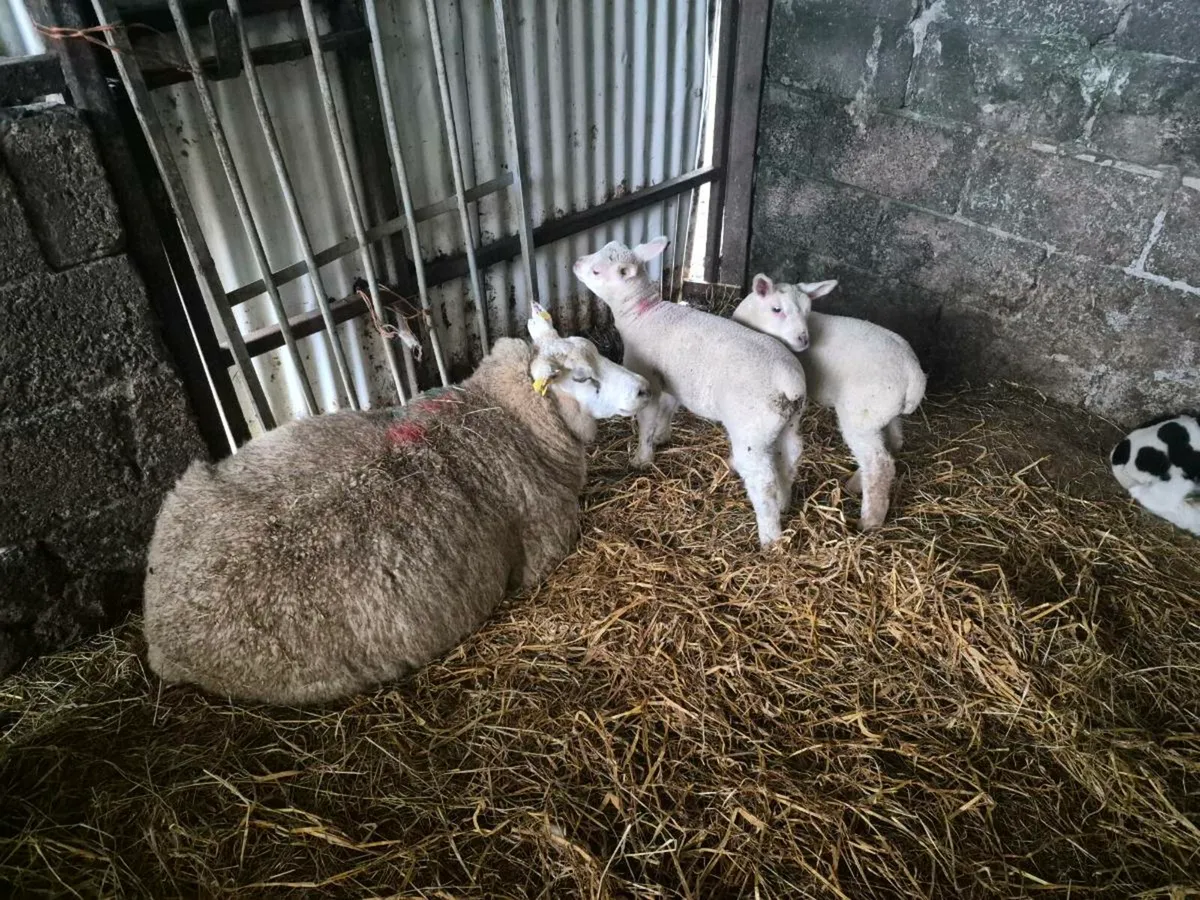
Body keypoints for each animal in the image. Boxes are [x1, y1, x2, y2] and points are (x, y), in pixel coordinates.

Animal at [573, 237, 809, 547]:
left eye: (597, 271)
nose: (575, 263)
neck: (642, 315)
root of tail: (789, 382)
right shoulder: (671, 381)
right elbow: (668, 408)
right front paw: (662, 436)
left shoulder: (648, 379)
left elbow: (646, 421)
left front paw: (642, 457)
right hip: (788, 422)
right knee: (790, 457)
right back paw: (785, 502)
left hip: (752, 433)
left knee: (762, 481)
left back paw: (770, 535)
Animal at [731, 275, 926, 531]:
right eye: (776, 309)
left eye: (808, 310)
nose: (804, 339)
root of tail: (914, 373)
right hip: (884, 413)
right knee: (893, 444)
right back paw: (857, 483)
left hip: (860, 415)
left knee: (879, 463)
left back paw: (869, 520)